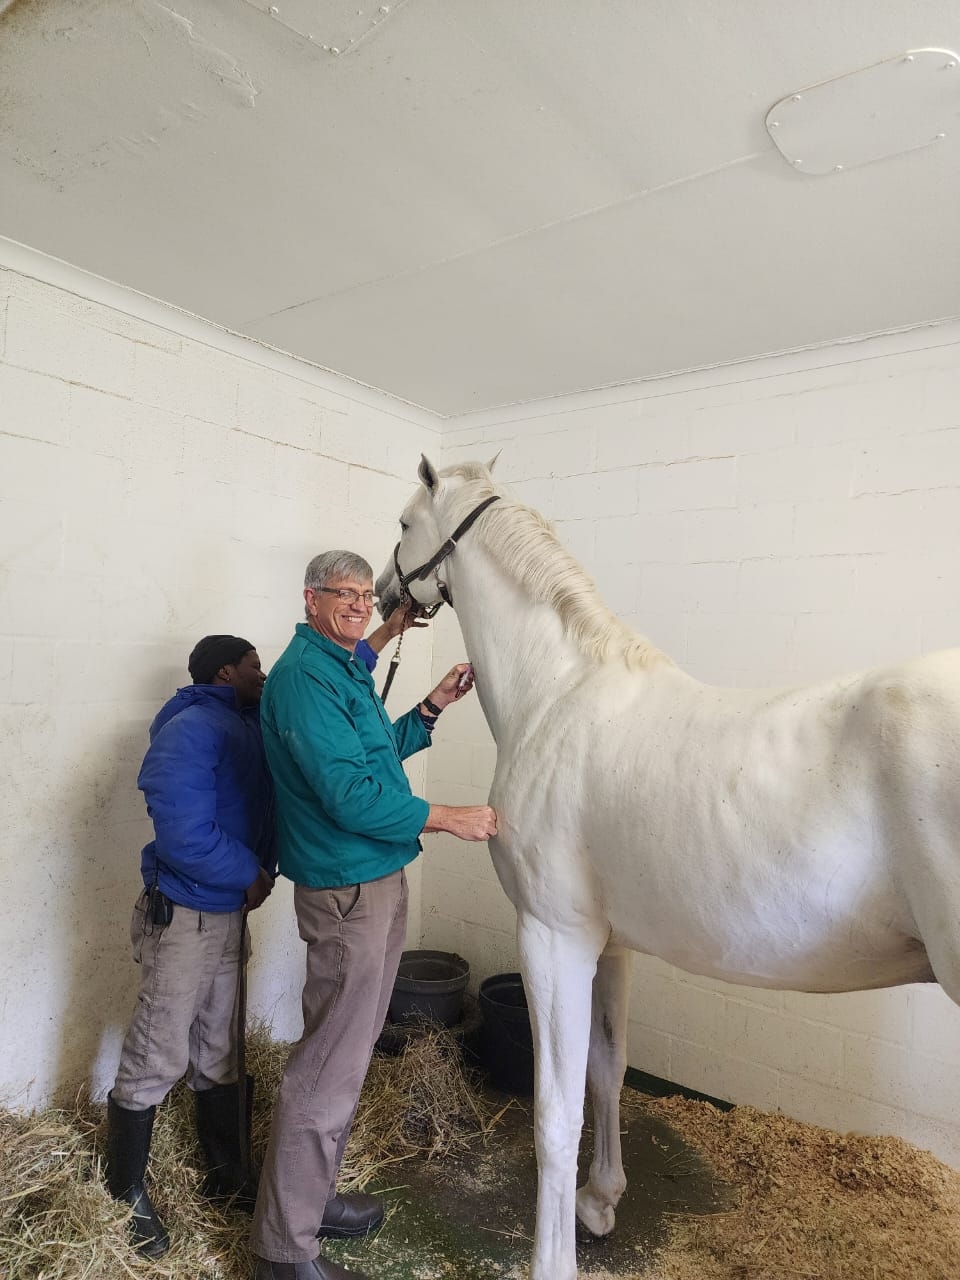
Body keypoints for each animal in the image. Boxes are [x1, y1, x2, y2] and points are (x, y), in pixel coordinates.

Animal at [373, 460, 960, 1280]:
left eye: (403, 524)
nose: (381, 593)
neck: (556, 694)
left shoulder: (552, 939)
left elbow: (556, 1113)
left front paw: (553, 1258)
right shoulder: (611, 945)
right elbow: (608, 1069)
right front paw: (600, 1201)